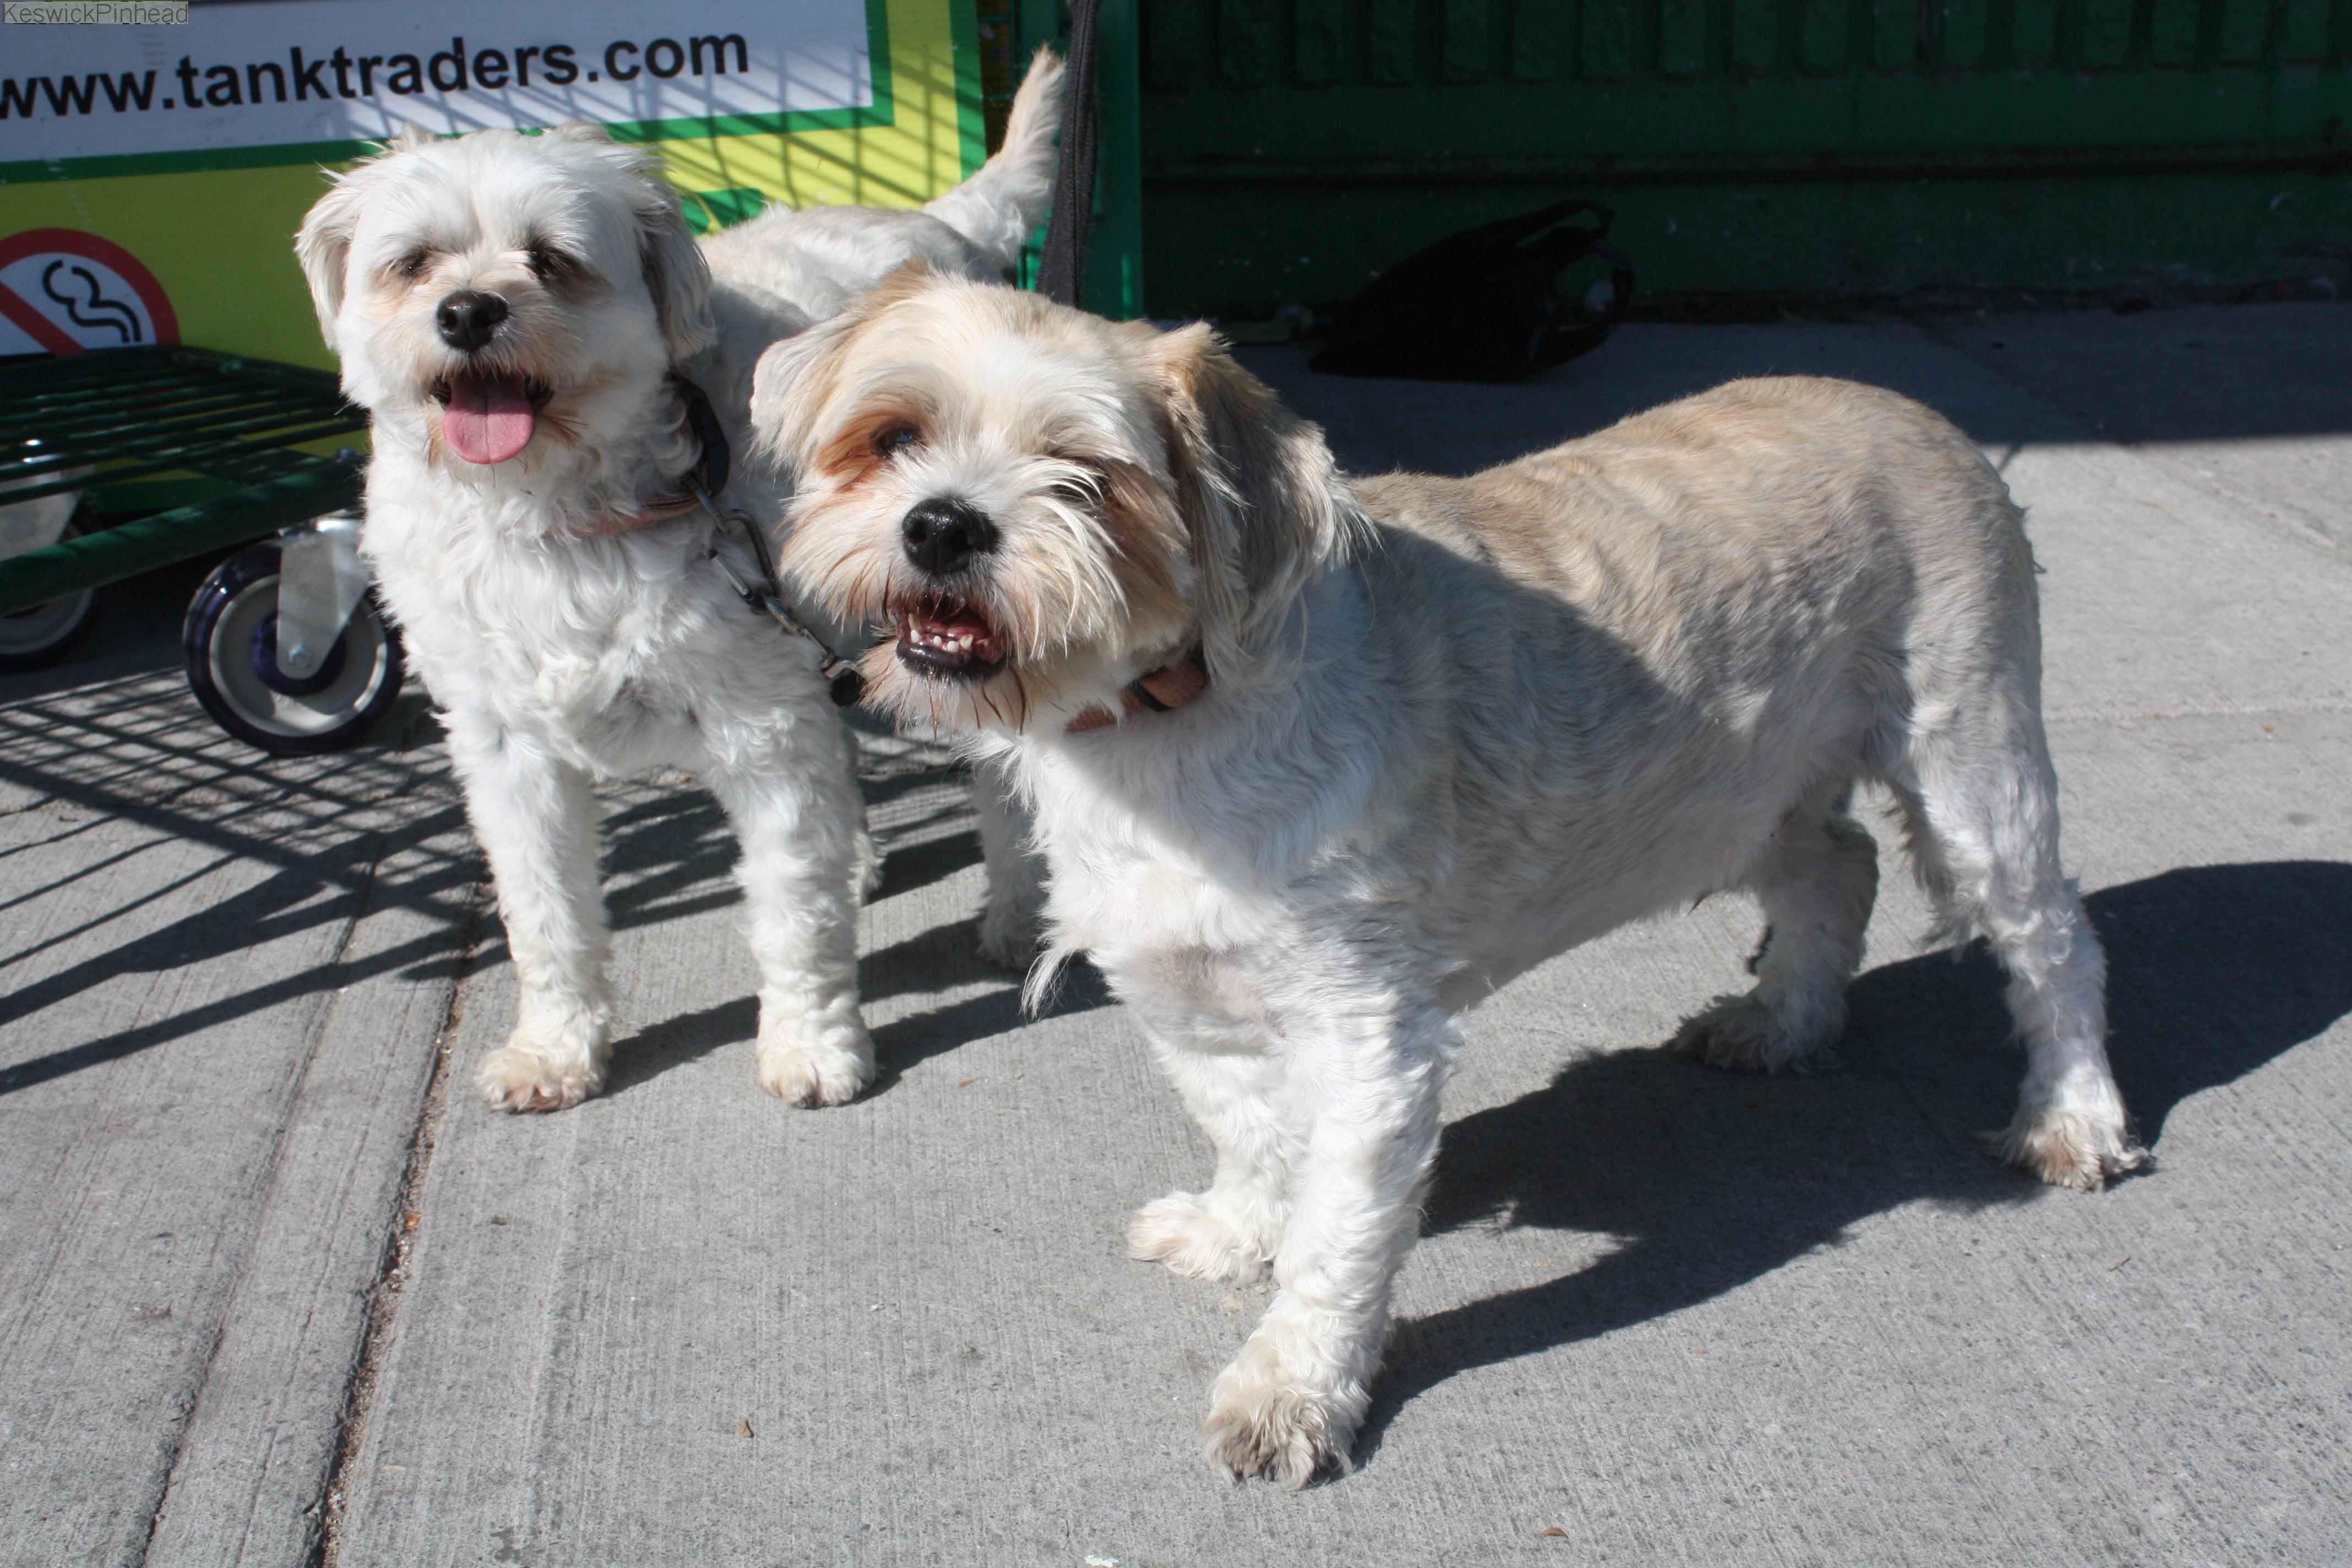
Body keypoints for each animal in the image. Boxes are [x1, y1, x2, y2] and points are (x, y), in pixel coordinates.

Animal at [294, 61, 1068, 1109]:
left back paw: (1019, 915)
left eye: (551, 260)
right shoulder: (509, 753)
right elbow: (545, 916)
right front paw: (554, 1047)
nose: (468, 311)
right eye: (415, 262)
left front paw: (810, 1042)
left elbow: (791, 912)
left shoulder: (761, 728)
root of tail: (937, 221)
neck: (556, 516)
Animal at [757, 276, 2154, 1495]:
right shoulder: (1183, 989)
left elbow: (1337, 1236)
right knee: (1836, 866)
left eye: (1086, 476)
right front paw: (1235, 1230)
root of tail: (1917, 411)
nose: (943, 522)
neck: (1162, 726)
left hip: (1970, 760)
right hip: (1737, 789)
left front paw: (1290, 1386)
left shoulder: (1369, 1029)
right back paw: (1786, 1017)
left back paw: (2072, 1116)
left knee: (2054, 942)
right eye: (893, 436)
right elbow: (1246, 1133)